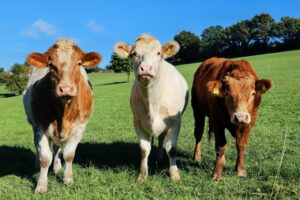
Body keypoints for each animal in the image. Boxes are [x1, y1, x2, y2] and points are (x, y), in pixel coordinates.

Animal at [22, 39, 102, 194]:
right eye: (51, 65)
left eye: (79, 63)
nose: (65, 89)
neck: (63, 114)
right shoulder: (40, 126)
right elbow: (45, 157)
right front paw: (41, 185)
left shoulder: (80, 127)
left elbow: (69, 154)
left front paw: (67, 178)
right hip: (33, 125)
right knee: (38, 147)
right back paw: (37, 164)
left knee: (57, 148)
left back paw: (57, 167)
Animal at [114, 34, 188, 181]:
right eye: (134, 53)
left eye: (158, 53)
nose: (146, 69)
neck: (152, 102)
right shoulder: (137, 121)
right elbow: (144, 149)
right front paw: (142, 176)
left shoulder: (175, 121)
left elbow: (172, 149)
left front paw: (174, 175)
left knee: (161, 139)